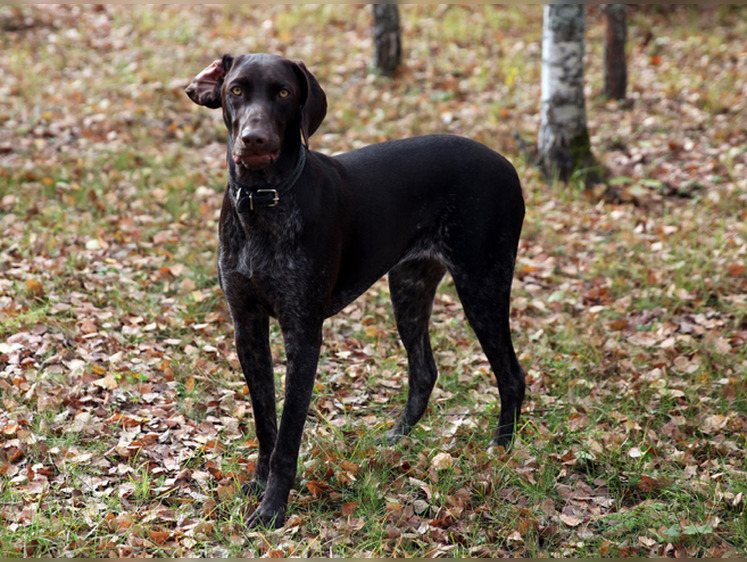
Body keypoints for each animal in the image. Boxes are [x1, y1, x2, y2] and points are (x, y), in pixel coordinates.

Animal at [186, 54, 524, 528]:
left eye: (283, 92)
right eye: (236, 90)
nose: (254, 139)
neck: (263, 200)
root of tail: (508, 165)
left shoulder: (303, 334)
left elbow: (288, 434)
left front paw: (273, 509)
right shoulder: (247, 326)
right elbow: (265, 422)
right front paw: (257, 485)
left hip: (483, 285)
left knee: (511, 374)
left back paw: (500, 450)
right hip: (409, 286)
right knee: (424, 371)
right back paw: (396, 438)